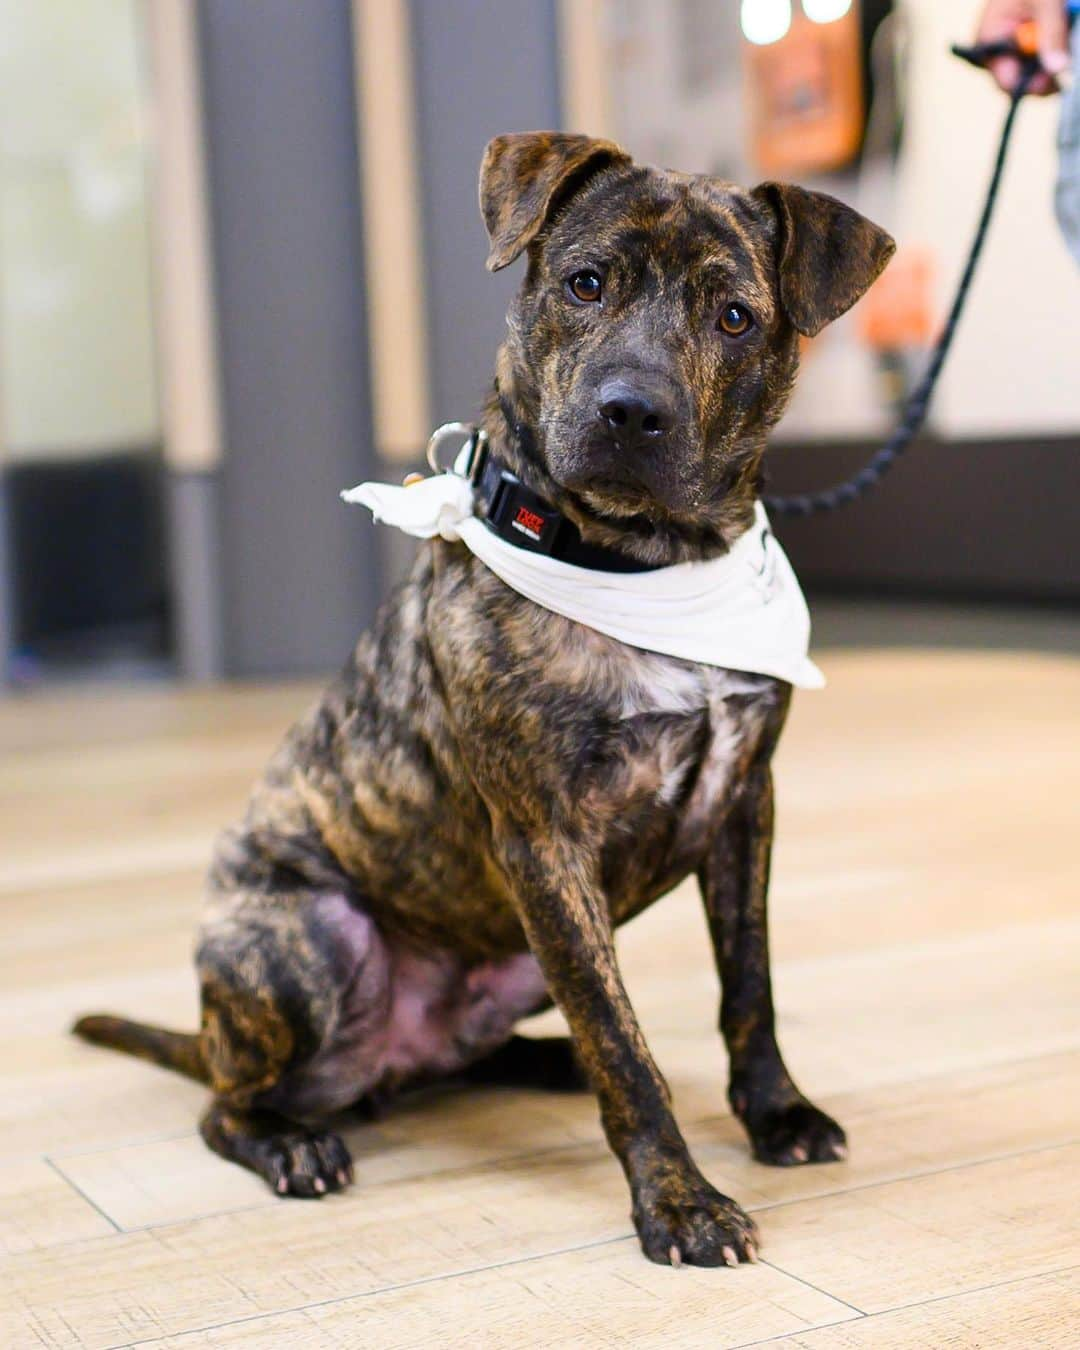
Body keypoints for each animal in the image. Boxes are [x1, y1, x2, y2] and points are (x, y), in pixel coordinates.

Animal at [71, 134, 891, 1263]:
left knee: (481, 1053)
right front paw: (680, 1202)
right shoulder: (545, 845)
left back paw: (541, 1061)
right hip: (312, 944)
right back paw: (291, 1142)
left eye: (735, 317)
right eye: (585, 282)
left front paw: (777, 1116)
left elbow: (749, 989)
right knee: (228, 1104)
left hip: (520, 950)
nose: (632, 411)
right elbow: (625, 1046)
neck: (646, 565)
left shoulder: (742, 806)